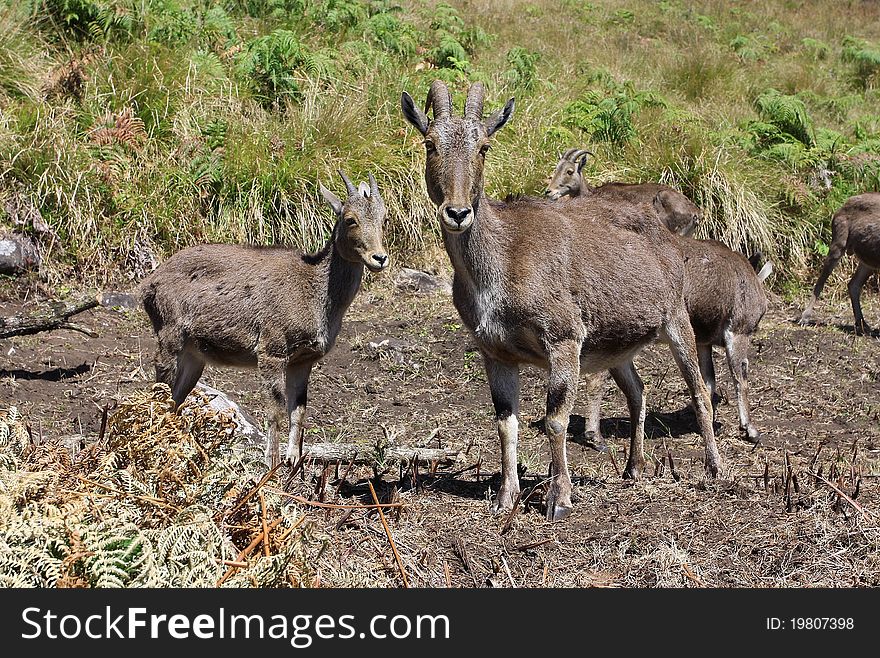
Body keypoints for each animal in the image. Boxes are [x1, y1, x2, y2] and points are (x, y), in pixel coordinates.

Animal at [138, 172, 388, 464]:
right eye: (350, 219)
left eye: (383, 217)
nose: (379, 258)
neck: (315, 292)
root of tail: (147, 285)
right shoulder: (272, 351)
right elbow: (275, 411)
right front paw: (272, 463)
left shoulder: (303, 360)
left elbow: (298, 412)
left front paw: (293, 461)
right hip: (170, 336)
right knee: (160, 389)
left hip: (194, 355)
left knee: (175, 399)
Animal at [796, 190, 880, 334]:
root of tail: (840, 208)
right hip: (838, 244)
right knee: (821, 281)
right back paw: (804, 318)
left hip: (868, 262)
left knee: (853, 284)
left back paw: (862, 324)